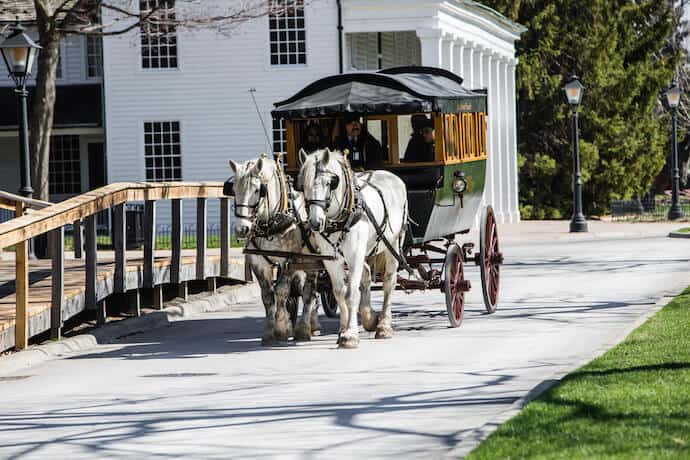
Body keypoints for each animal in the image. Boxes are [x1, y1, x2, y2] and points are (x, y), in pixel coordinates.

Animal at [228, 156, 320, 344]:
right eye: (233, 189)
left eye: (258, 190)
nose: (242, 229)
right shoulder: (258, 262)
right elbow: (267, 295)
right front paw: (269, 332)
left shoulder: (289, 259)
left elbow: (281, 291)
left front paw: (282, 327)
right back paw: (312, 325)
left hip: (311, 260)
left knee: (309, 292)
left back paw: (304, 329)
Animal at [296, 149, 408, 346]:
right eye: (303, 185)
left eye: (329, 183)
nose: (315, 223)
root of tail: (391, 175)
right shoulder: (331, 260)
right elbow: (340, 293)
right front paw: (343, 330)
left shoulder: (355, 255)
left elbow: (351, 294)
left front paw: (351, 335)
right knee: (367, 275)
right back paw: (370, 317)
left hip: (393, 244)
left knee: (389, 282)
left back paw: (384, 326)